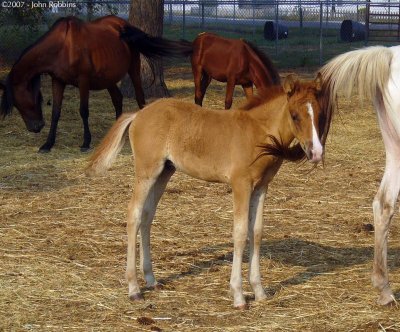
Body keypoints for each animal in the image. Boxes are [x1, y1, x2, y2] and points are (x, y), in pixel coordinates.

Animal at [0, 14, 194, 152]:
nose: (35, 127)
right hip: (108, 78)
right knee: (117, 98)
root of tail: (123, 25)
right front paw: (48, 144)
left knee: (140, 97)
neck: (63, 46)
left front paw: (86, 142)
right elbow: (56, 112)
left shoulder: (83, 80)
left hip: (133, 69)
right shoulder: (58, 81)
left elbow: (83, 111)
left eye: (18, 102)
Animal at [85, 74, 332, 308]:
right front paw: (238, 296)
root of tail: (138, 114)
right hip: (147, 172)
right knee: (134, 215)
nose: (316, 153)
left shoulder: (262, 186)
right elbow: (240, 233)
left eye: (320, 114)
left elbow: (257, 232)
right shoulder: (241, 184)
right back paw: (134, 289)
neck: (257, 133)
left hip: (164, 173)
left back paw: (152, 279)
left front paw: (259, 292)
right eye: (294, 115)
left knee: (147, 217)